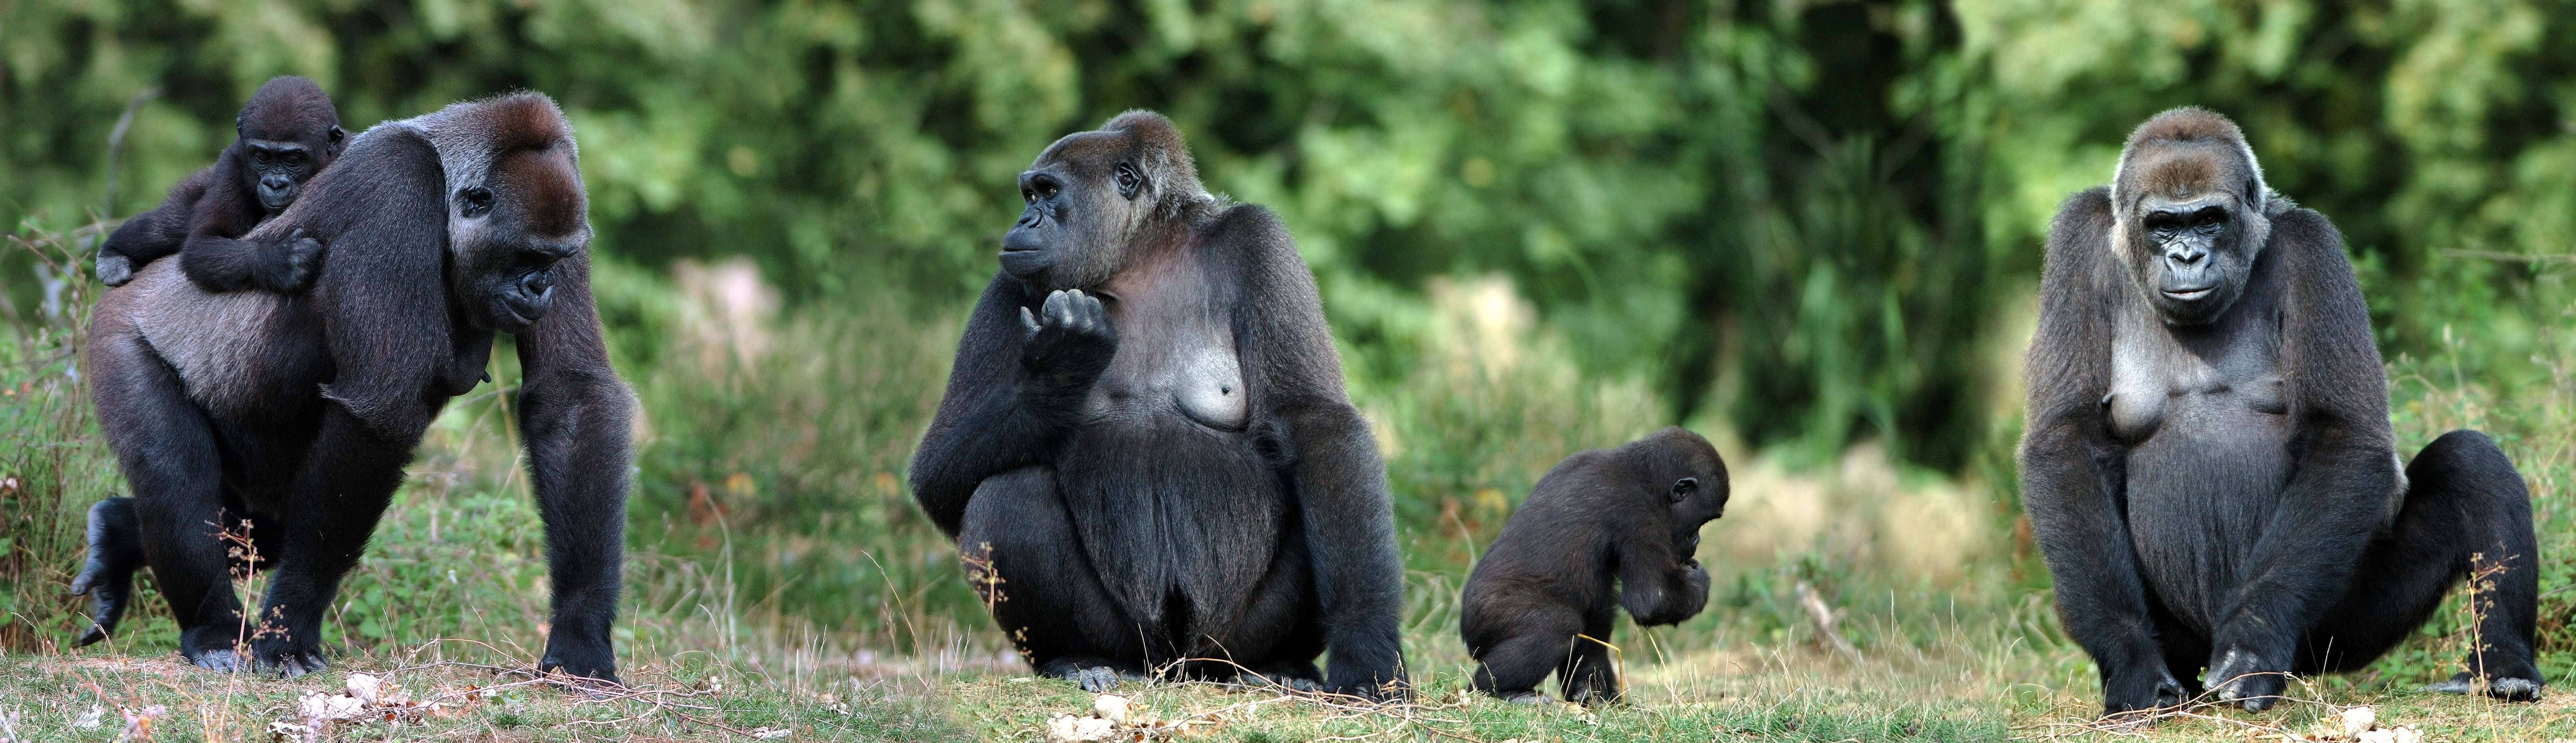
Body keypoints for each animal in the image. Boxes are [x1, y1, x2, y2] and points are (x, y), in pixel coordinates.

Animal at [96, 75, 343, 292]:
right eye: (262, 157)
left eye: (293, 160)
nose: (275, 184)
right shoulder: (231, 163)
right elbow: (203, 243)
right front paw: (281, 261)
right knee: (166, 226)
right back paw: (114, 253)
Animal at [912, 109, 1411, 694]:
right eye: (1029, 194)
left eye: (1048, 192)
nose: (1023, 222)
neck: (1142, 255)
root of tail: (1180, 669)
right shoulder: (1006, 283)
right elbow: (937, 472)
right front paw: (1055, 376)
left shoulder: (1259, 242)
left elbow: (1315, 422)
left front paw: (1366, 649)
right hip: (1138, 647)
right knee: (1009, 493)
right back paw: (1075, 657)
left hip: (1224, 647)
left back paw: (1278, 663)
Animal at [1463, 424, 1721, 704]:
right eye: (1705, 521)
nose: (1696, 541)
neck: (1642, 474)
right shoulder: (1641, 514)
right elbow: (1651, 598)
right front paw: (1698, 582)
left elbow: (1601, 615)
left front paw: (1592, 689)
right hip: (1488, 616)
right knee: (1555, 629)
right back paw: (1497, 688)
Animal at [2020, 107, 2545, 715]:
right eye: (2162, 226)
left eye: (2208, 220)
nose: (2186, 256)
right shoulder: (2077, 239)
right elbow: (2066, 438)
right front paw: (2129, 657)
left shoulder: (2312, 247)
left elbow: (2344, 433)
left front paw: (2251, 643)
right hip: (2189, 653)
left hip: (2330, 639)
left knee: (2470, 460)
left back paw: (2504, 666)